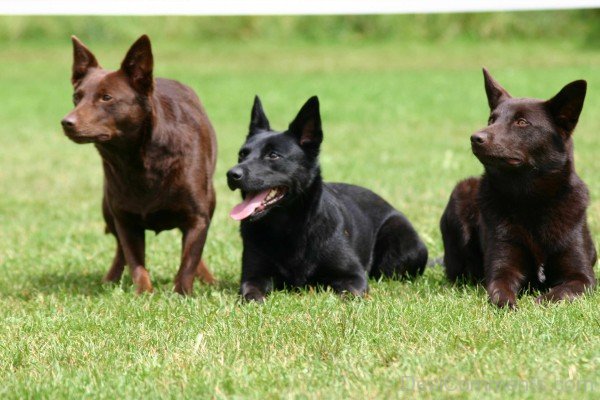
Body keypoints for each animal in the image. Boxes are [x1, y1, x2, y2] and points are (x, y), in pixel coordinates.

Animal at [60, 36, 218, 296]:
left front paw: (182, 294)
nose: (66, 122)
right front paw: (144, 294)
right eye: (76, 97)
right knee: (119, 251)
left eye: (106, 97)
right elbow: (135, 262)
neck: (138, 159)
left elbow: (189, 261)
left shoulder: (198, 217)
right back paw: (110, 280)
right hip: (107, 208)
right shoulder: (125, 219)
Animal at [225, 97, 426, 302]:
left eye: (273, 155)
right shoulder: (253, 276)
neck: (288, 229)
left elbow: (350, 295)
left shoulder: (353, 276)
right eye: (242, 154)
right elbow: (251, 294)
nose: (232, 174)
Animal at [438, 67, 596, 308]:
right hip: (460, 194)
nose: (475, 138)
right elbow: (499, 291)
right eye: (491, 119)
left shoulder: (583, 278)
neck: (530, 200)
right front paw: (511, 305)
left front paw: (539, 302)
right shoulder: (502, 270)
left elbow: (559, 293)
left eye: (522, 122)